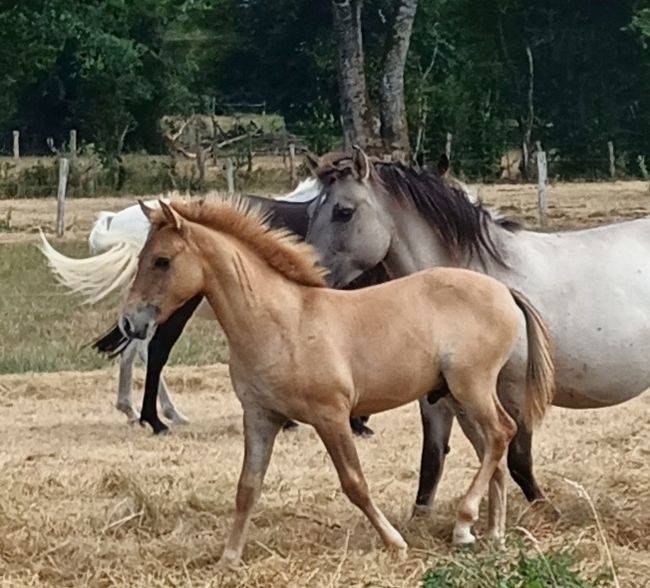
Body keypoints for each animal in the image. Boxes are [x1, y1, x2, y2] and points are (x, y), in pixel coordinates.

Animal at [121, 196, 554, 563]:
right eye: (142, 257)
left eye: (161, 261)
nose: (130, 322)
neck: (282, 324)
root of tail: (503, 290)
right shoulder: (260, 417)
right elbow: (247, 487)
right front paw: (229, 557)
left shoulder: (331, 416)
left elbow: (354, 483)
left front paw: (395, 542)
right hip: (462, 397)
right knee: (493, 451)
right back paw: (489, 533)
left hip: (471, 386)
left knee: (501, 432)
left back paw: (465, 522)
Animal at [305, 146, 650, 514]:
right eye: (311, 210)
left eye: (343, 212)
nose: (306, 272)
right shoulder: (441, 398)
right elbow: (435, 459)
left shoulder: (514, 389)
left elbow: (517, 458)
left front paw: (543, 510)